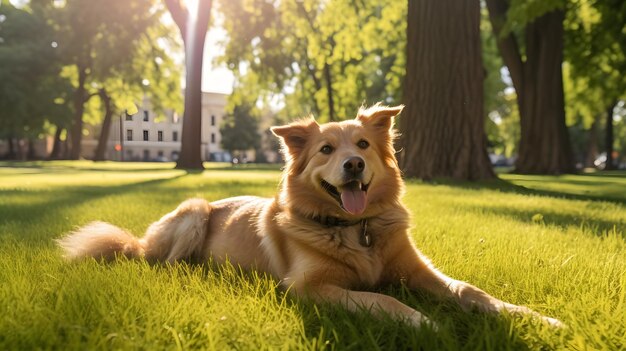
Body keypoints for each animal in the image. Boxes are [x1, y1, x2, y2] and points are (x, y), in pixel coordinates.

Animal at [56, 104, 560, 330]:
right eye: (326, 150)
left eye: (362, 145)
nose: (353, 165)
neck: (357, 231)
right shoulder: (307, 288)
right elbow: (382, 300)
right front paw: (428, 324)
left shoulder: (417, 270)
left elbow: (470, 291)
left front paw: (531, 317)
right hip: (194, 211)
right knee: (161, 264)